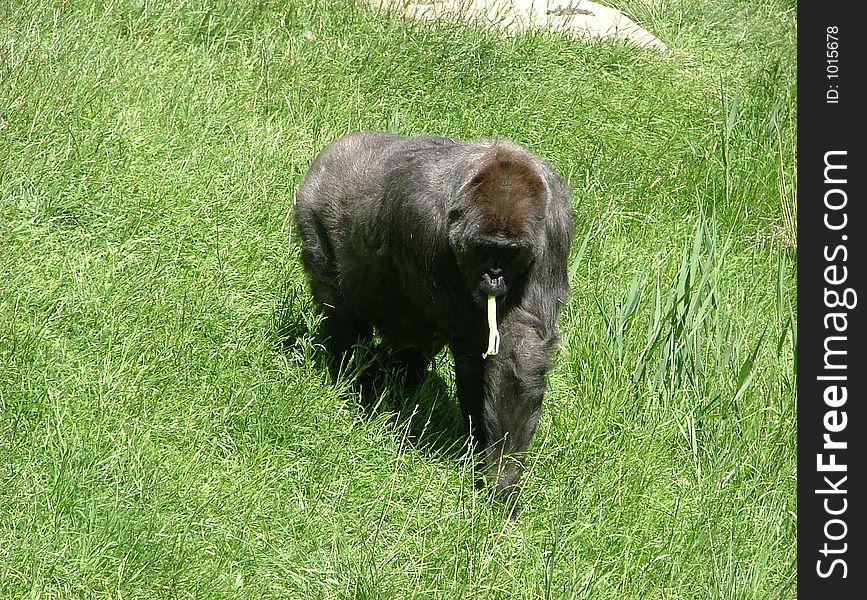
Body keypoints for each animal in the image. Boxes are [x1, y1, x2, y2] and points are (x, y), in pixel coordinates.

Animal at [294, 132, 576, 506]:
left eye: (511, 252)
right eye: (486, 249)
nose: (495, 275)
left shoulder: (554, 226)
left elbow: (519, 351)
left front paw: (502, 472)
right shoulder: (420, 217)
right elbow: (471, 342)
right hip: (313, 206)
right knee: (343, 312)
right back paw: (352, 375)